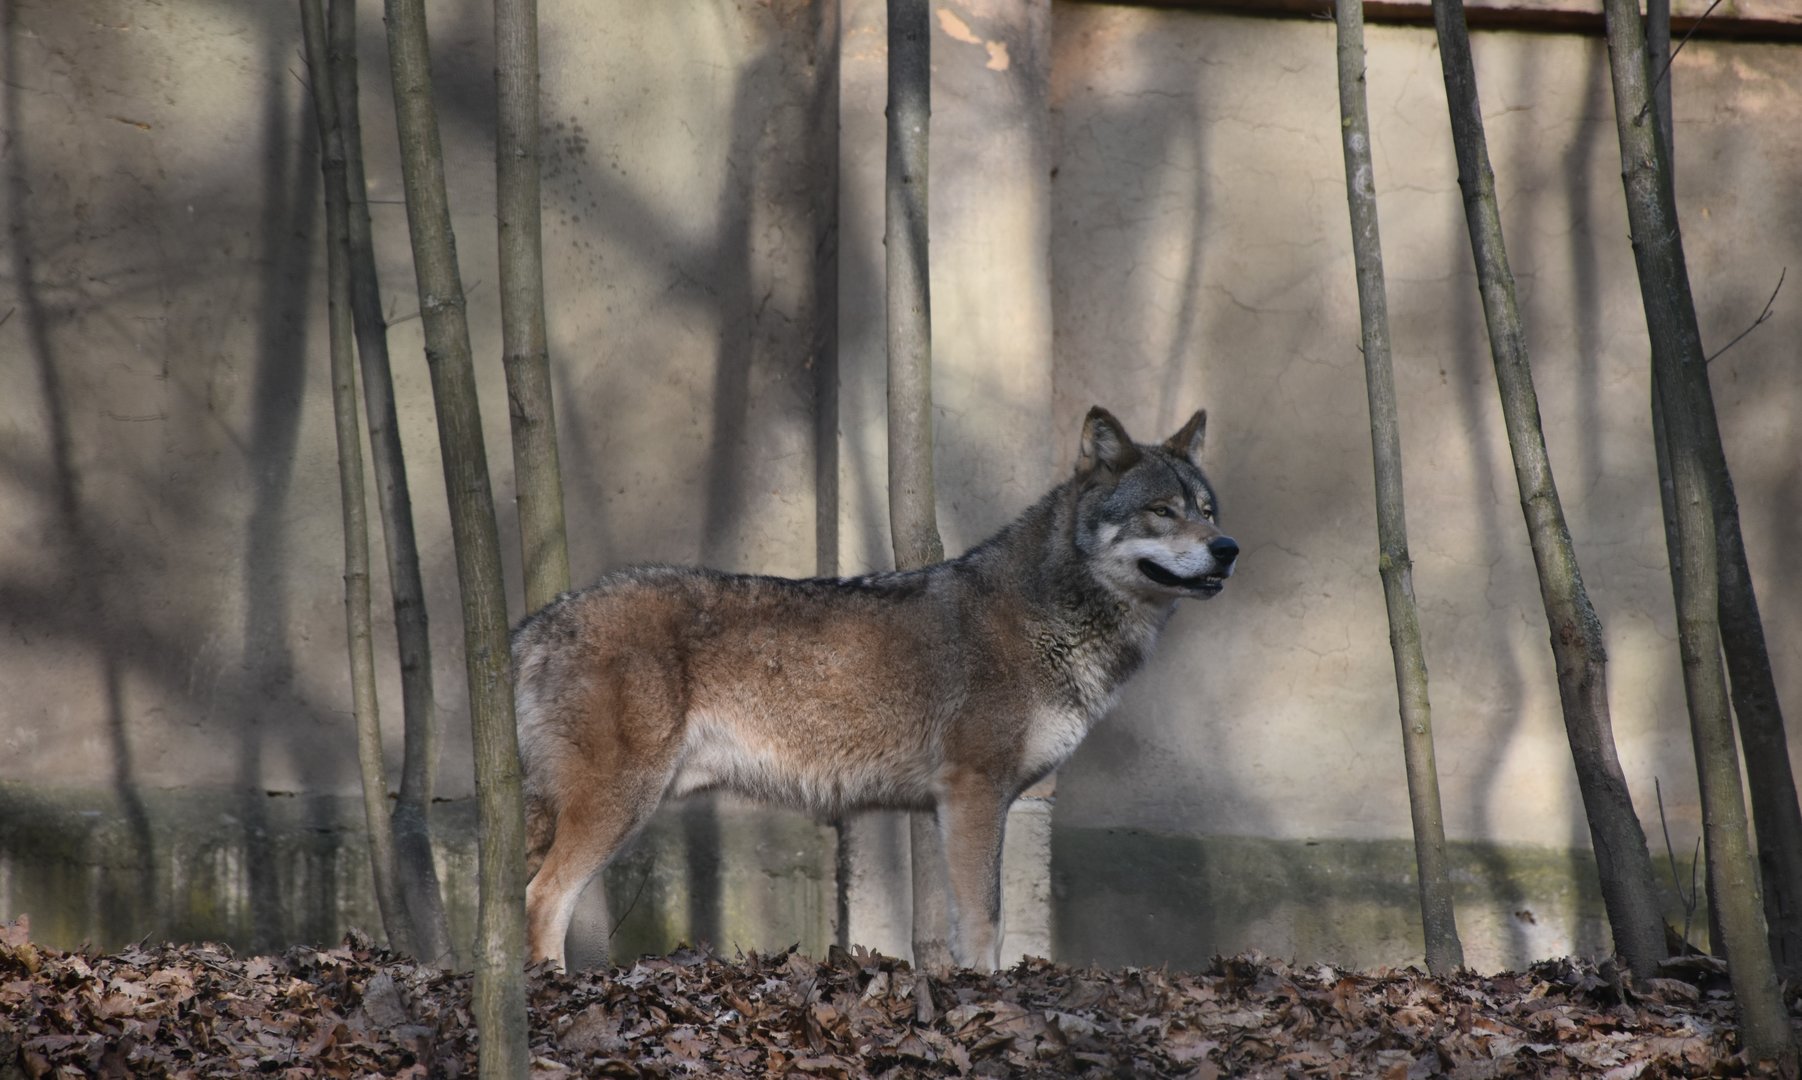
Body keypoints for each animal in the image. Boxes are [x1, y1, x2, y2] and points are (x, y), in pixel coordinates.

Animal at [512, 406, 1238, 970]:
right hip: (618, 806)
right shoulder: (975, 793)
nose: (1227, 549)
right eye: (1161, 511)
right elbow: (988, 921)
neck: (1052, 616)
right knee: (542, 896)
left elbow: (964, 924)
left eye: (1206, 510)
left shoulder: (965, 806)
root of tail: (538, 620)